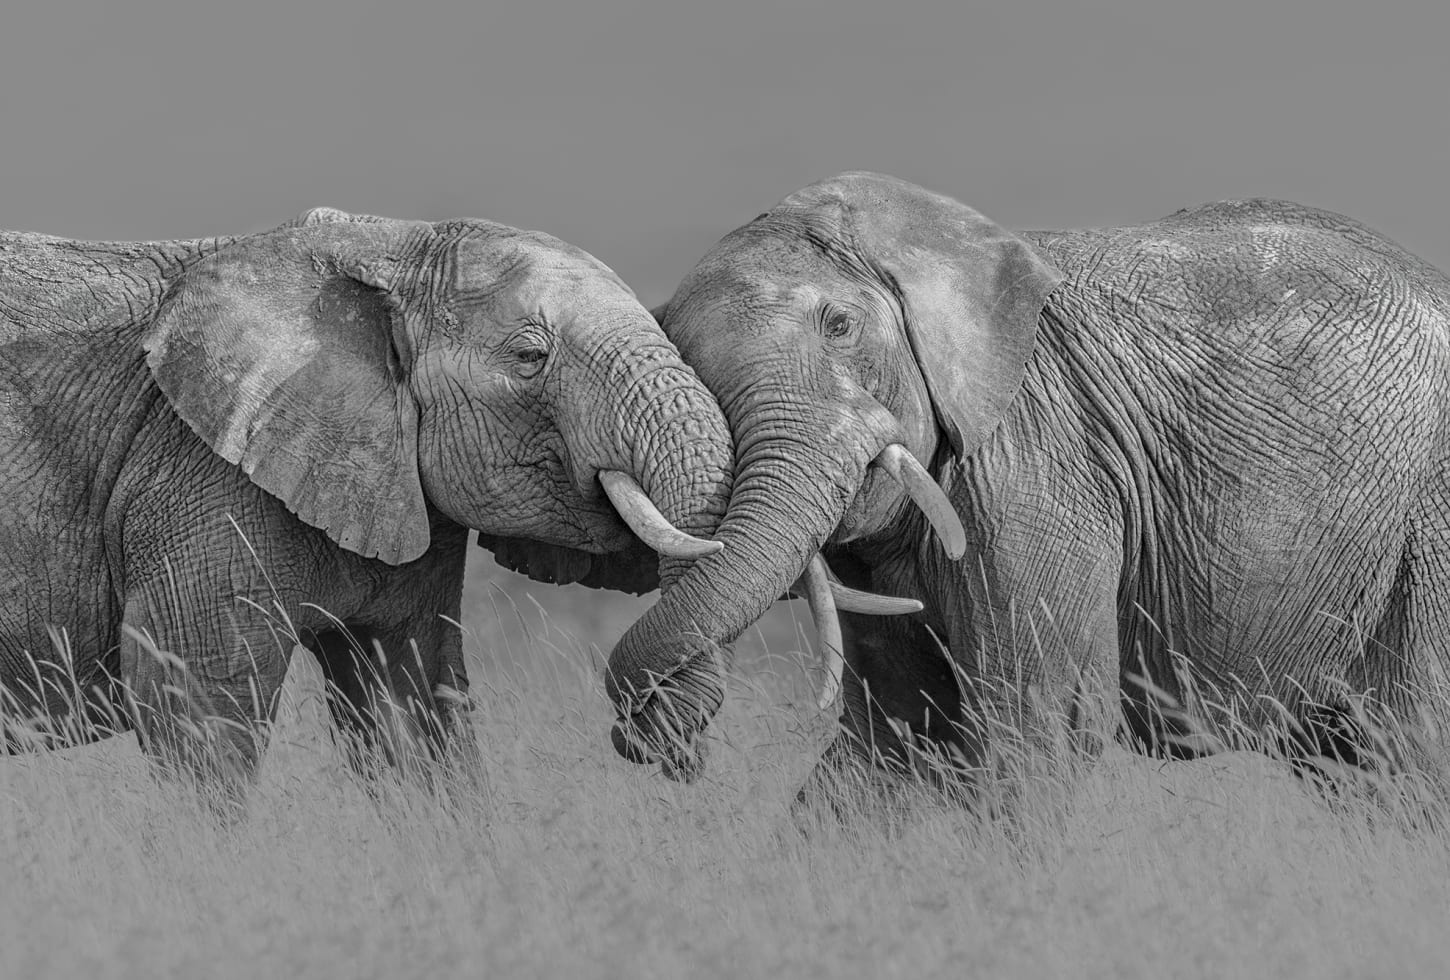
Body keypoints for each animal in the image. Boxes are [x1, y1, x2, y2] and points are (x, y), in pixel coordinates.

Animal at [0, 205, 736, 801]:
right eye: (531, 357)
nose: (665, 752)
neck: (385, 247)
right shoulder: (200, 476)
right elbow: (197, 708)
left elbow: (411, 705)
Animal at [604, 170, 1450, 803]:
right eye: (684, 359)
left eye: (839, 326)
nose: (668, 749)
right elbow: (894, 739)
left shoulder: (1036, 460)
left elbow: (1036, 724)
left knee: (1413, 748)